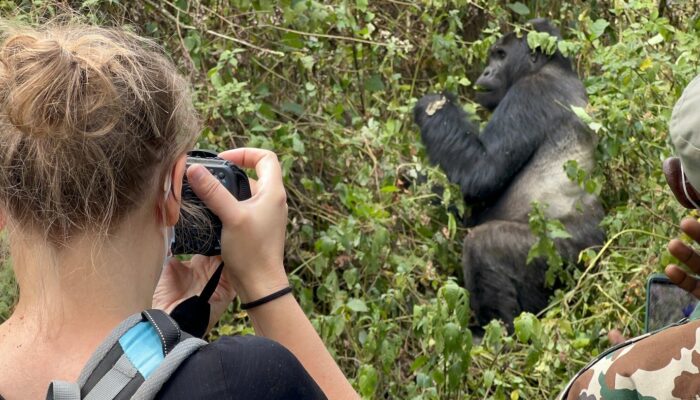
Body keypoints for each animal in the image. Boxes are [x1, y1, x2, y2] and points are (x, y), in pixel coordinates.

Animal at [412, 18, 604, 332]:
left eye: (501, 55)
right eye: (491, 57)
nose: (486, 72)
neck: (552, 67)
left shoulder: (529, 93)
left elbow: (480, 174)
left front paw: (434, 103)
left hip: (570, 253)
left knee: (483, 244)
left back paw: (494, 331)